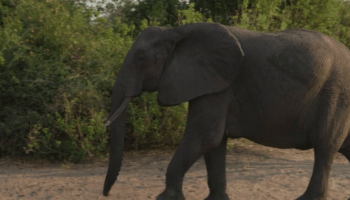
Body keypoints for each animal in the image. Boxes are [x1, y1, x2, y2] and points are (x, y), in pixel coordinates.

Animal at [100, 22, 350, 199]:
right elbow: (215, 143)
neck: (176, 32)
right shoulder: (214, 83)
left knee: (325, 146)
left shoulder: (220, 86)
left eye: (141, 58)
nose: (106, 193)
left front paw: (166, 198)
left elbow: (204, 137)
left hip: (336, 95)